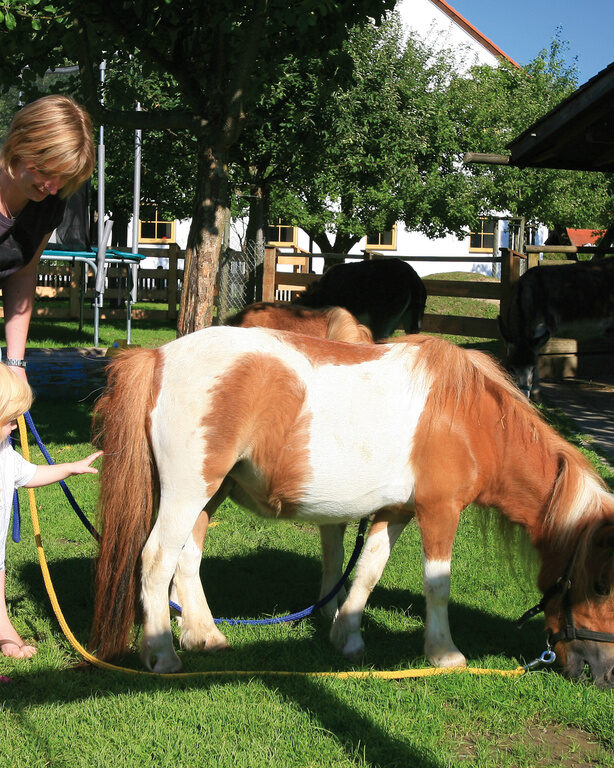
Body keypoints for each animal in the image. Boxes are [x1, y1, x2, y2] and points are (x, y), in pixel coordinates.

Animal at [90, 328, 614, 688]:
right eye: (598, 585)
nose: (601, 674)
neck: (472, 419)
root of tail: (159, 356)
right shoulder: (440, 511)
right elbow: (437, 585)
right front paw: (444, 654)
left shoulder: (396, 511)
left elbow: (367, 571)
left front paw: (348, 637)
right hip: (188, 490)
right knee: (157, 559)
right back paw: (162, 654)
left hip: (211, 492)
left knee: (188, 559)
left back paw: (205, 635)